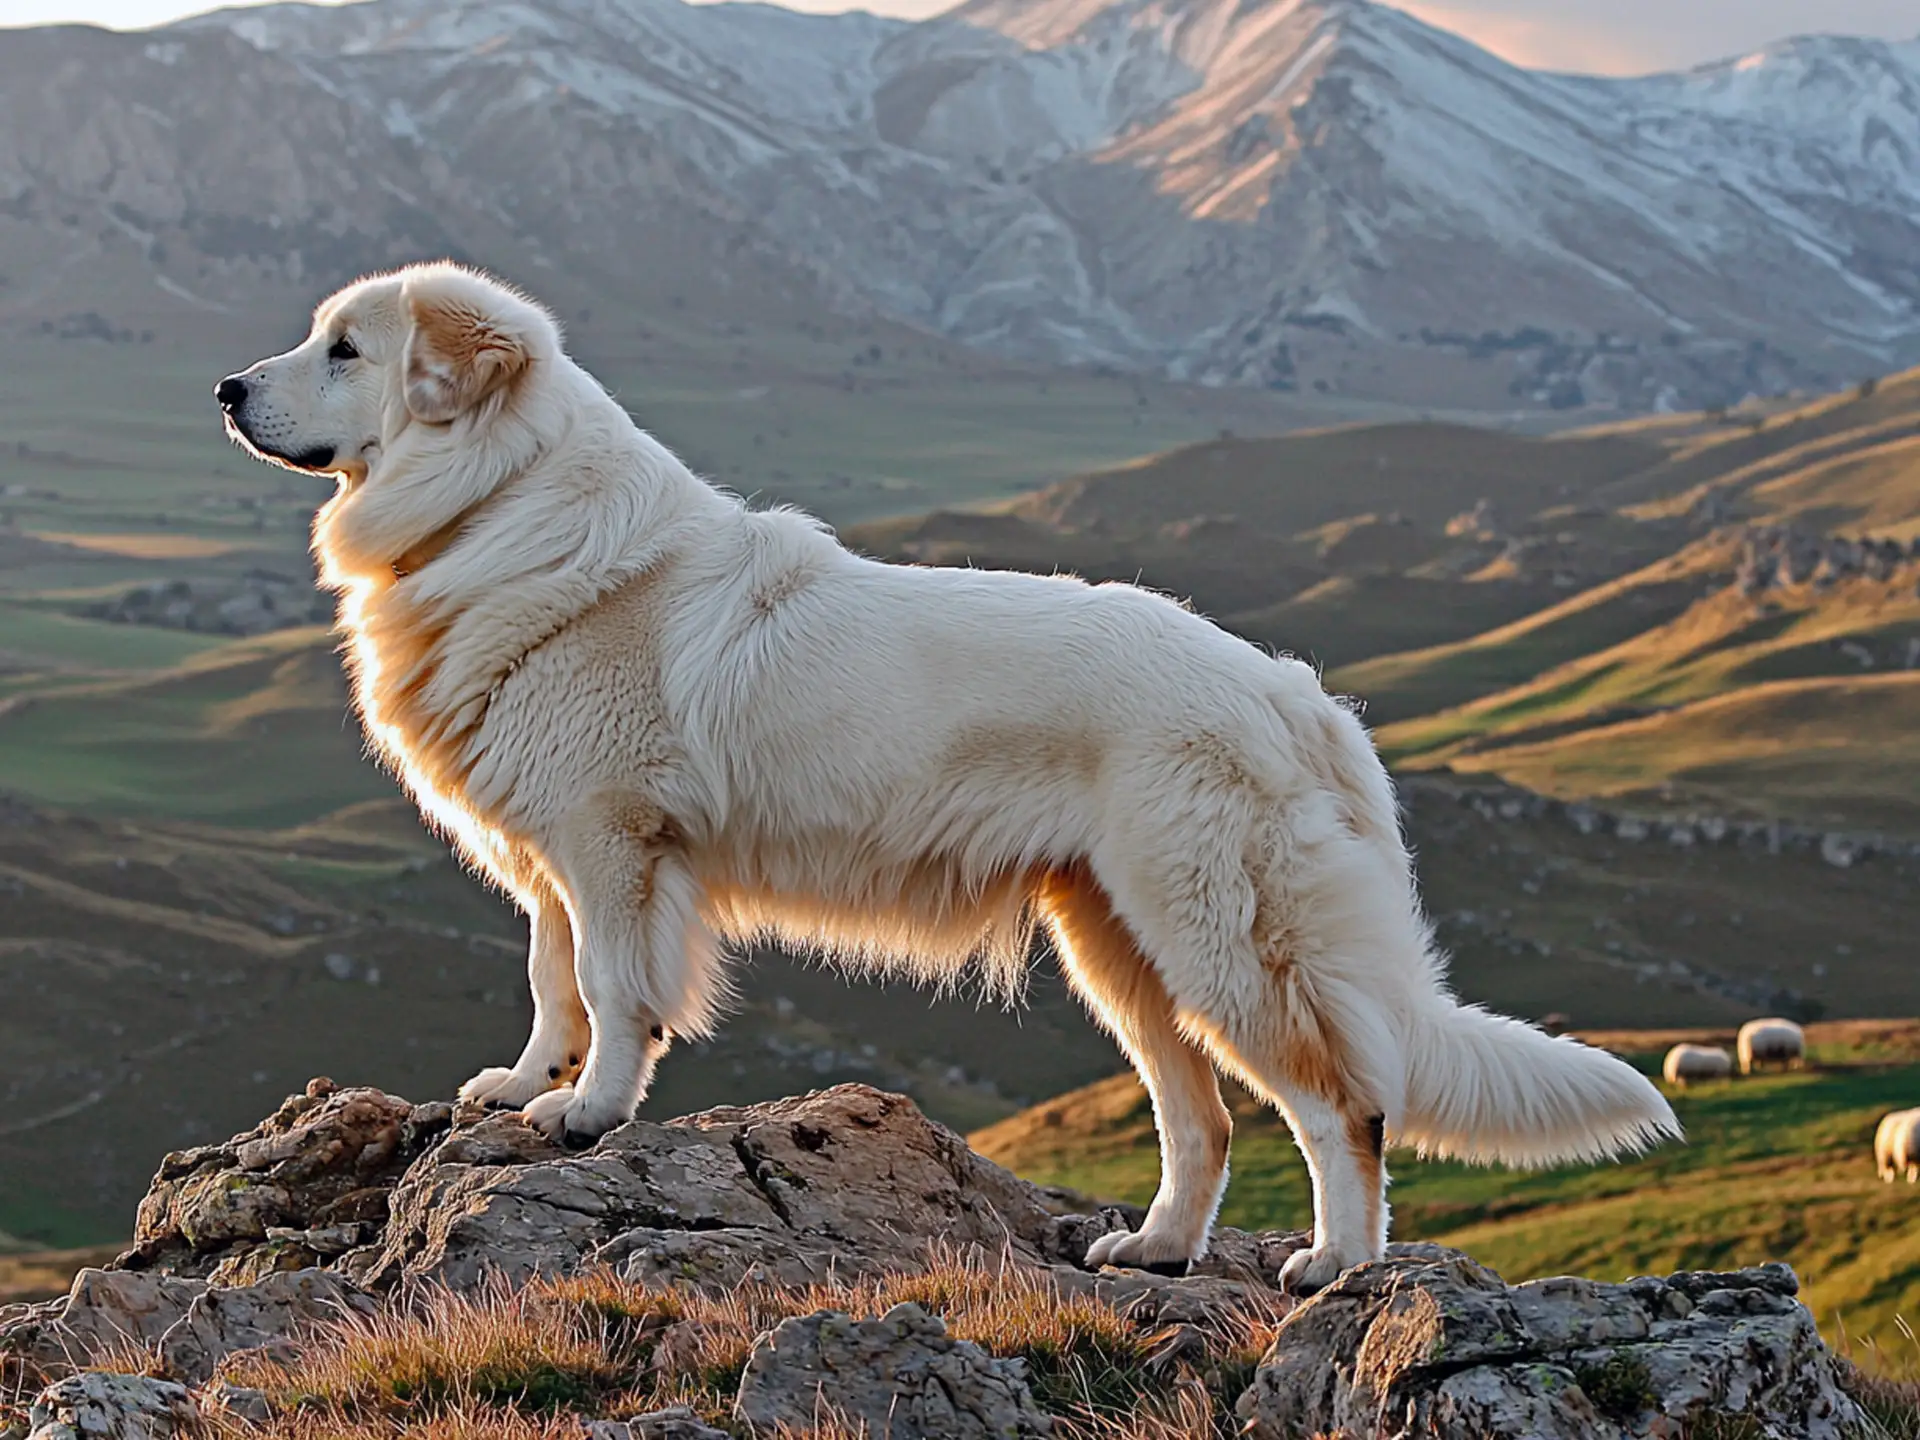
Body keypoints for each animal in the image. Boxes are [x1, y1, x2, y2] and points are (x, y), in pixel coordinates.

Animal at [214, 268, 1681, 1297]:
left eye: (347, 349)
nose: (228, 388)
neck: (497, 500)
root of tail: (1293, 693)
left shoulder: (614, 843)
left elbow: (618, 992)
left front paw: (589, 1113)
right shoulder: (554, 857)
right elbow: (550, 977)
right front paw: (525, 1086)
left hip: (1220, 942)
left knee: (1342, 1109)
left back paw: (1338, 1268)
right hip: (1118, 949)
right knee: (1201, 1120)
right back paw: (1155, 1252)